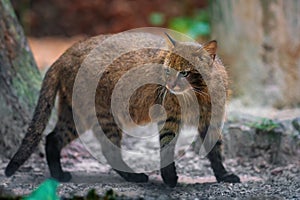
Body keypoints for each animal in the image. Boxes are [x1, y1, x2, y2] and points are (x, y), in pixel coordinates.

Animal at [4, 31, 240, 188]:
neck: (196, 96)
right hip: (102, 115)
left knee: (53, 138)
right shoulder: (170, 119)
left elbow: (215, 150)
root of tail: (64, 55)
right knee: (107, 150)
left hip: (73, 113)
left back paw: (58, 175)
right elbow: (166, 147)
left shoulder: (211, 120)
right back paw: (134, 176)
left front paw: (223, 175)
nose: (169, 84)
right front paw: (170, 179)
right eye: (166, 69)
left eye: (184, 73)